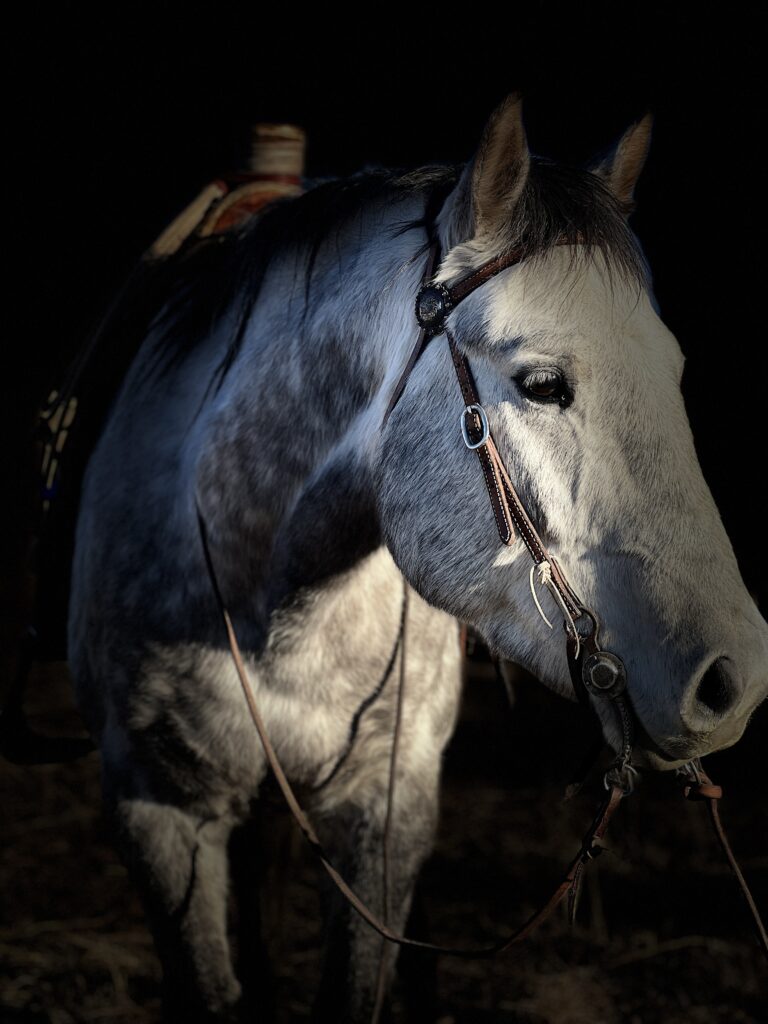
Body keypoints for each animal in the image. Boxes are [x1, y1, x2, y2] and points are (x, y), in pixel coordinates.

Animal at [67, 92, 768, 1019]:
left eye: (675, 371)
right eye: (543, 385)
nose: (735, 681)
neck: (273, 599)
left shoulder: (387, 809)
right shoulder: (157, 812)